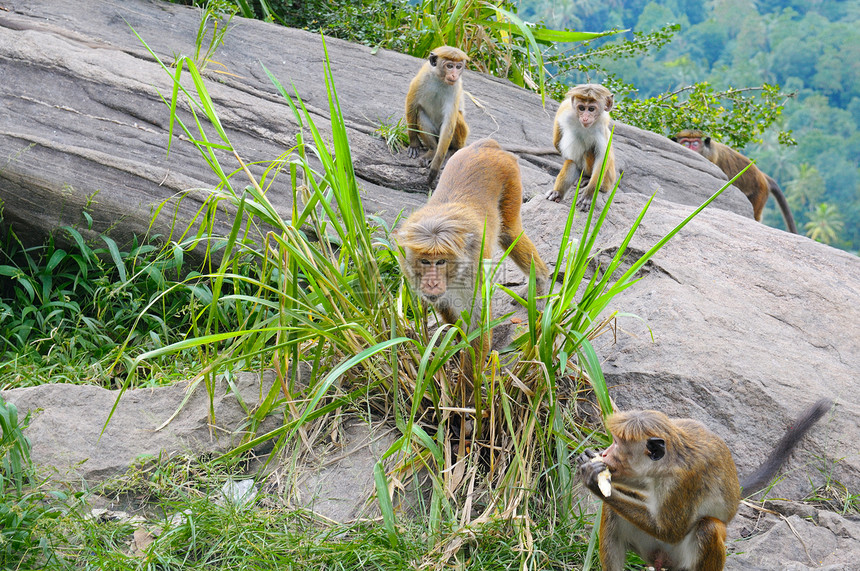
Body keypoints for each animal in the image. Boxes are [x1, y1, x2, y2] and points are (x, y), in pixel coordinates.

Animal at [404, 45, 470, 188]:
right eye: (449, 66)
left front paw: (435, 167)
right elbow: (411, 105)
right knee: (420, 112)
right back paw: (433, 149)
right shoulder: (422, 77)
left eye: (458, 66)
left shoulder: (455, 87)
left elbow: (449, 124)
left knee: (456, 118)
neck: (440, 79)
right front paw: (414, 143)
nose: (454, 74)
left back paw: (452, 151)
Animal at [548, 82, 616, 210]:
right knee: (572, 163)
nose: (585, 117)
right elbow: (557, 142)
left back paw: (586, 179)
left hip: (606, 182)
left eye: (591, 109)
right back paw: (557, 193)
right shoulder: (565, 109)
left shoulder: (601, 128)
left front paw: (589, 193)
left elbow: (602, 158)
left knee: (589, 151)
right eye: (581, 108)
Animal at [576, 398, 832, 571]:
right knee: (613, 511)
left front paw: (594, 482)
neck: (669, 463)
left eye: (618, 446)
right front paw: (589, 458)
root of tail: (662, 559)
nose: (606, 453)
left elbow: (670, 530)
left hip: (682, 559)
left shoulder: (686, 480)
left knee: (708, 527)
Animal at [672, 130, 800, 235]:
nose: (689, 149)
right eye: (685, 143)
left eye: (695, 144)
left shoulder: (712, 159)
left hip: (760, 192)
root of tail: (762, 176)